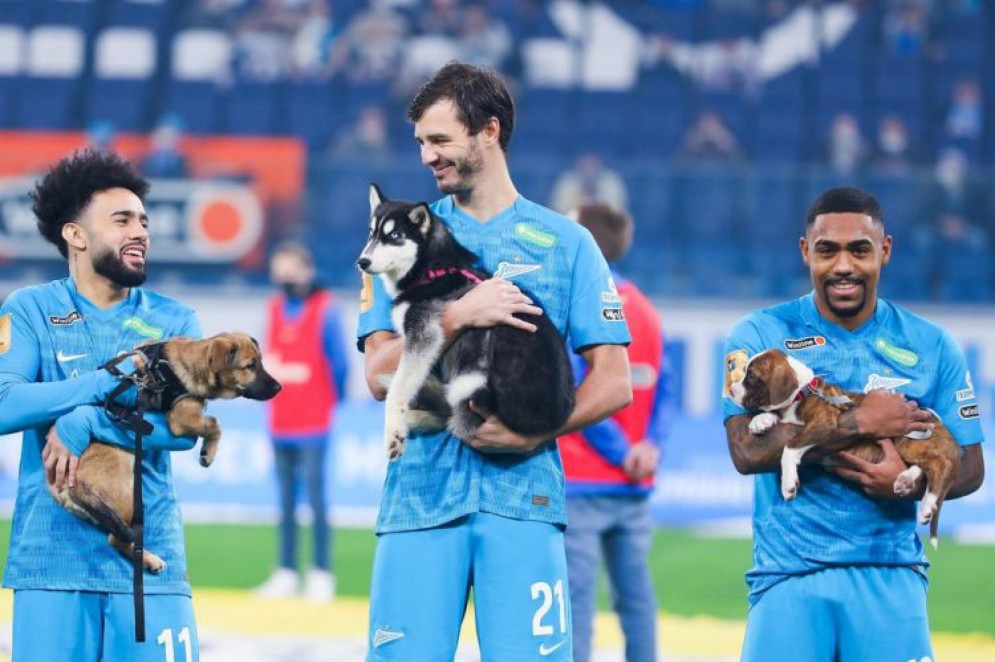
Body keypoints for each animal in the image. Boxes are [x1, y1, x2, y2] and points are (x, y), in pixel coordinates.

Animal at [49, 334, 280, 572]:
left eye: (260, 362)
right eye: (249, 366)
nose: (279, 387)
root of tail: (70, 486)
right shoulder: (181, 419)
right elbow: (216, 423)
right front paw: (209, 452)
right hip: (129, 496)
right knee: (117, 539)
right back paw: (150, 560)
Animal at [358, 183, 576, 462]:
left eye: (395, 235)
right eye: (371, 233)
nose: (362, 262)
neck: (431, 270)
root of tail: (548, 422)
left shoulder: (423, 335)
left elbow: (397, 389)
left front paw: (395, 432)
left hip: (473, 372)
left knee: (452, 417)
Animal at [728, 348, 960, 548]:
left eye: (752, 376)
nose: (730, 389)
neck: (802, 393)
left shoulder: (824, 422)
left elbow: (789, 447)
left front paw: (788, 483)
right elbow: (775, 414)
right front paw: (760, 420)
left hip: (908, 439)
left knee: (940, 464)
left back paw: (928, 504)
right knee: (923, 466)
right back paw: (905, 480)